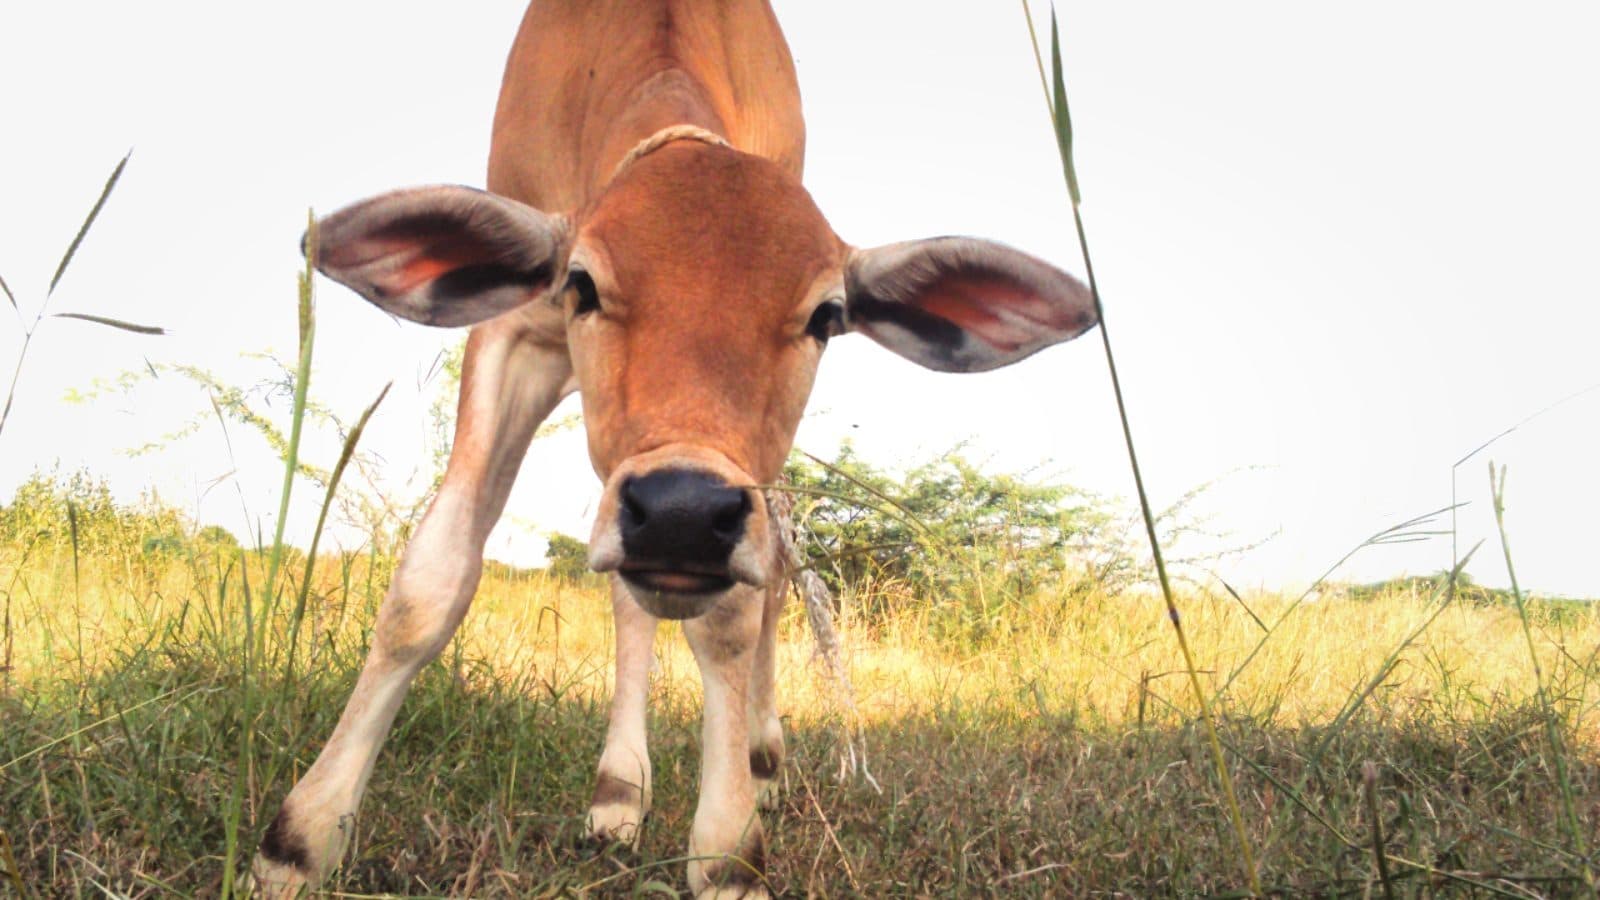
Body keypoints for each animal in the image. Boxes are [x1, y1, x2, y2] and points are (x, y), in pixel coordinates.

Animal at [252, 1, 1098, 896]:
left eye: (826, 315)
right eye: (582, 283)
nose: (684, 514)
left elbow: (733, 615)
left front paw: (727, 846)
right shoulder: (514, 331)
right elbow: (431, 581)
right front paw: (301, 836)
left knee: (772, 575)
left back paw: (759, 752)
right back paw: (619, 789)